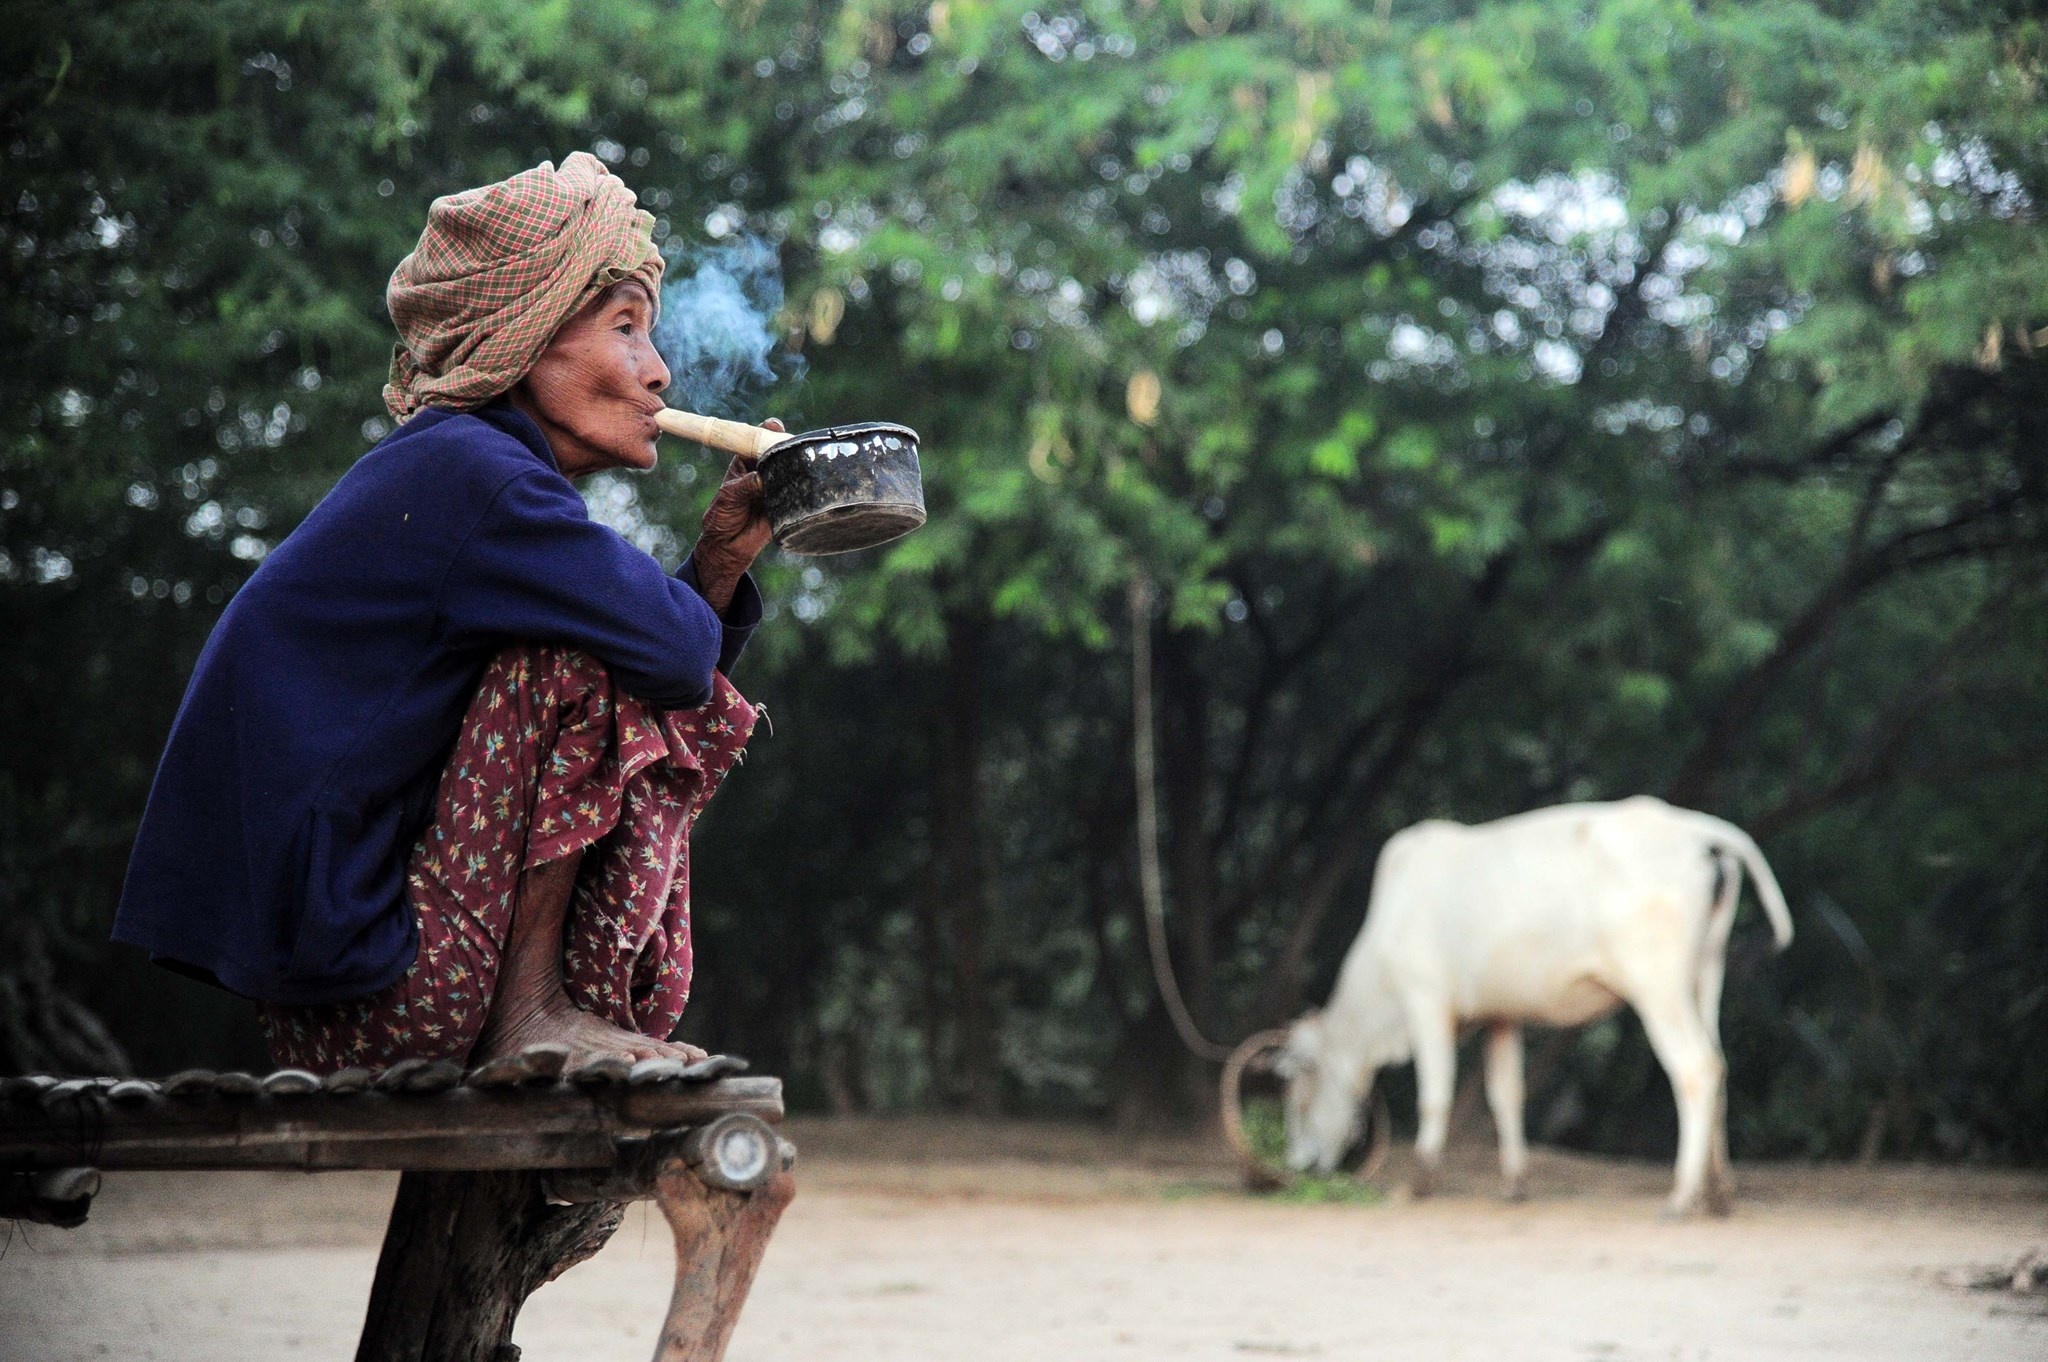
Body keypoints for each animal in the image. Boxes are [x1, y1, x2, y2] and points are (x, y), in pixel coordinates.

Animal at [1277, 790, 1794, 1212]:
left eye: (1299, 1092)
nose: (1299, 1162)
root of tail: (1699, 832)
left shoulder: (1426, 1001)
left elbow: (1435, 1095)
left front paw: (1419, 1184)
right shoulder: (1500, 1017)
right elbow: (1505, 1095)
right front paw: (1514, 1185)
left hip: (1657, 984)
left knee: (1696, 1067)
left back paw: (1682, 1196)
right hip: (1706, 974)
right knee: (1720, 1066)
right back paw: (1718, 1194)